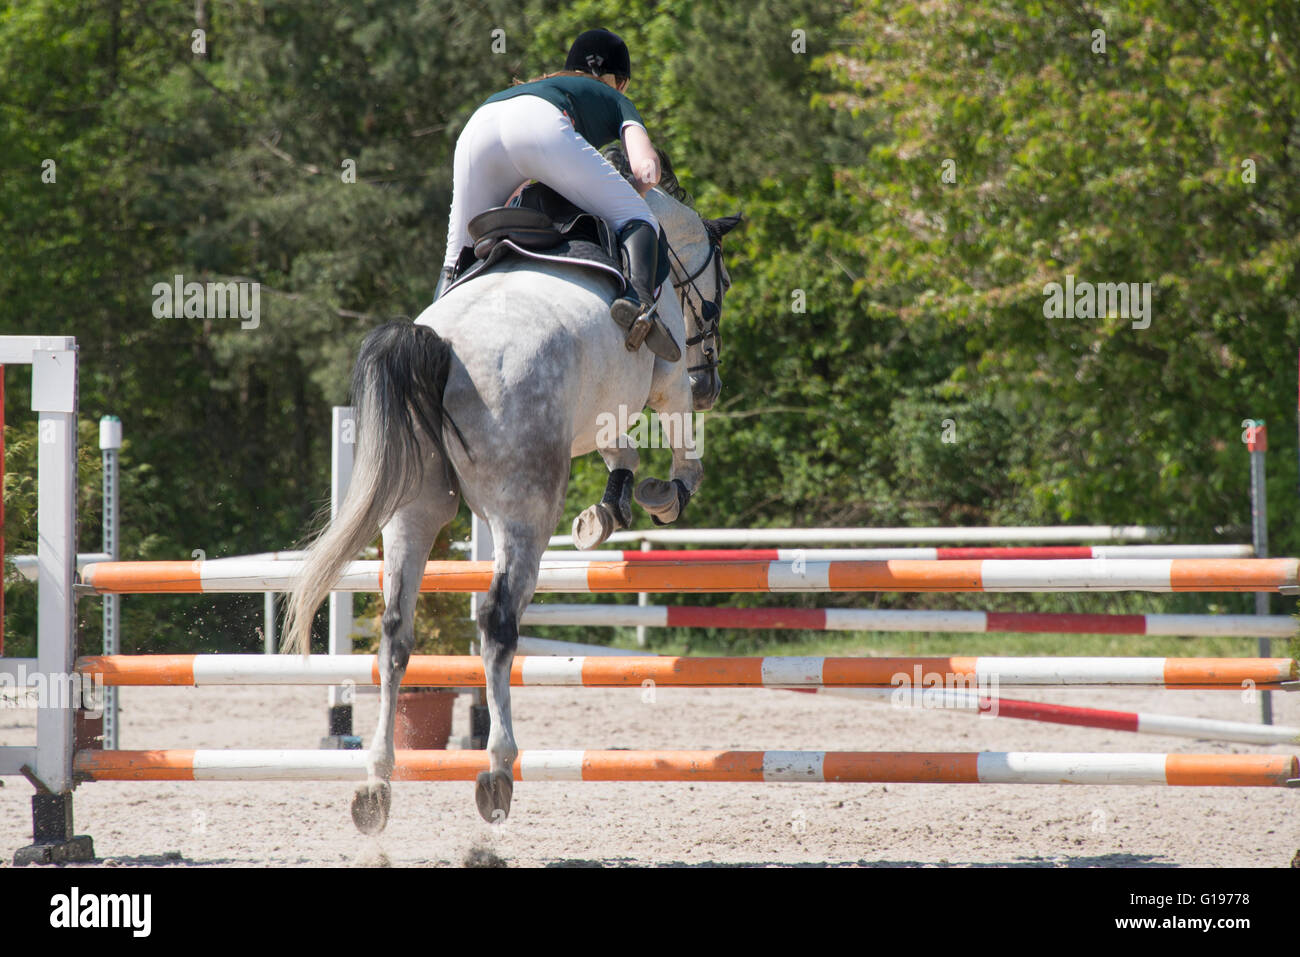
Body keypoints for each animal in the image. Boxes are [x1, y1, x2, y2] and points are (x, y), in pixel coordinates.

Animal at [283, 158, 743, 832]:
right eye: (725, 281)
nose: (712, 382)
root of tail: (441, 346)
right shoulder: (662, 379)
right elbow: (677, 436)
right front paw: (668, 493)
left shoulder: (601, 406)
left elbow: (618, 452)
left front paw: (607, 510)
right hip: (522, 509)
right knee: (497, 621)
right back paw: (496, 770)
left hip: (413, 510)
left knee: (396, 631)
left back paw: (376, 784)